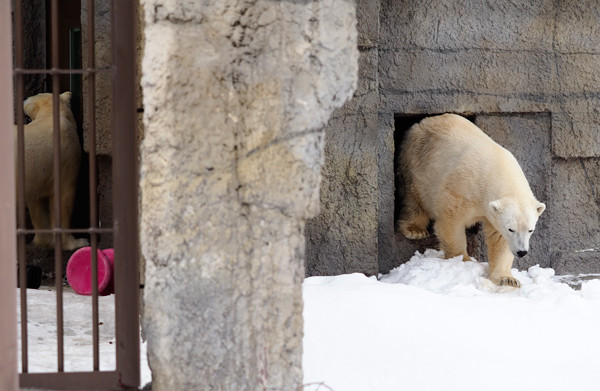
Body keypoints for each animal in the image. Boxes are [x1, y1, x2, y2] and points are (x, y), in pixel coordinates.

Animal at [16, 92, 89, 251]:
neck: (49, 117)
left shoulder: (35, 174)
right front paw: (76, 242)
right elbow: (63, 197)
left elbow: (37, 204)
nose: (23, 99)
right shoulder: (66, 154)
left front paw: (45, 240)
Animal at [396, 113, 548, 288]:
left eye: (530, 230)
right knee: (414, 197)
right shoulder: (461, 189)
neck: (495, 170)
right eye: (511, 229)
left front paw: (507, 279)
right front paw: (463, 260)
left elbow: (499, 239)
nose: (522, 252)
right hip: (417, 161)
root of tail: (422, 122)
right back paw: (415, 230)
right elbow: (451, 223)